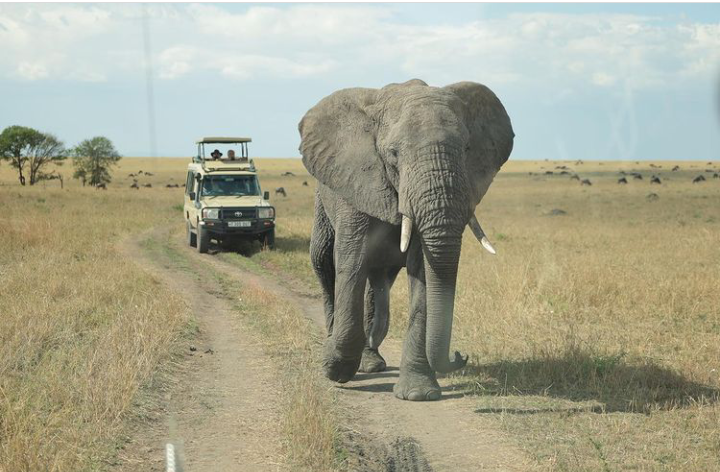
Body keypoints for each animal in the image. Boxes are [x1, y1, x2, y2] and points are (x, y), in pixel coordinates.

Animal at [298, 79, 514, 401]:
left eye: (466, 149)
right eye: (394, 154)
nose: (460, 356)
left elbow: (424, 271)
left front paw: (419, 394)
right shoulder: (356, 185)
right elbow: (351, 262)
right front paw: (333, 370)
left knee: (377, 283)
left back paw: (371, 362)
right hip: (322, 202)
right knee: (324, 262)